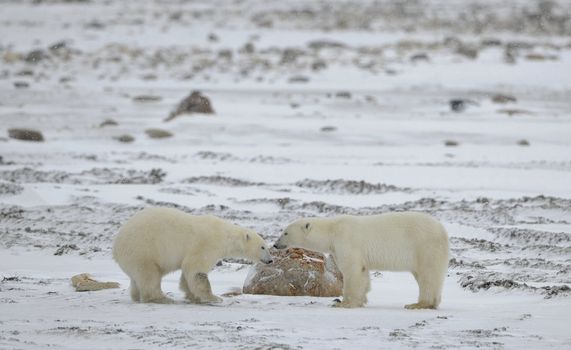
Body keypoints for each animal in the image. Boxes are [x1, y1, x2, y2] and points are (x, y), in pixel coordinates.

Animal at [113, 208, 274, 304]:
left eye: (267, 246)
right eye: (263, 247)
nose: (270, 260)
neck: (224, 235)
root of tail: (116, 247)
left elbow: (188, 273)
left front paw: (192, 296)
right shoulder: (207, 244)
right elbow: (196, 268)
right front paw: (213, 298)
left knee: (138, 277)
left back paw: (136, 296)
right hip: (143, 250)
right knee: (149, 275)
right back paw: (162, 298)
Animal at [274, 212, 450, 308]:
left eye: (285, 232)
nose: (276, 244)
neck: (332, 230)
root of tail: (442, 230)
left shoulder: (346, 241)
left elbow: (352, 271)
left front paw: (343, 303)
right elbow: (363, 273)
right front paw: (360, 300)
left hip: (424, 246)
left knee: (428, 275)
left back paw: (418, 304)